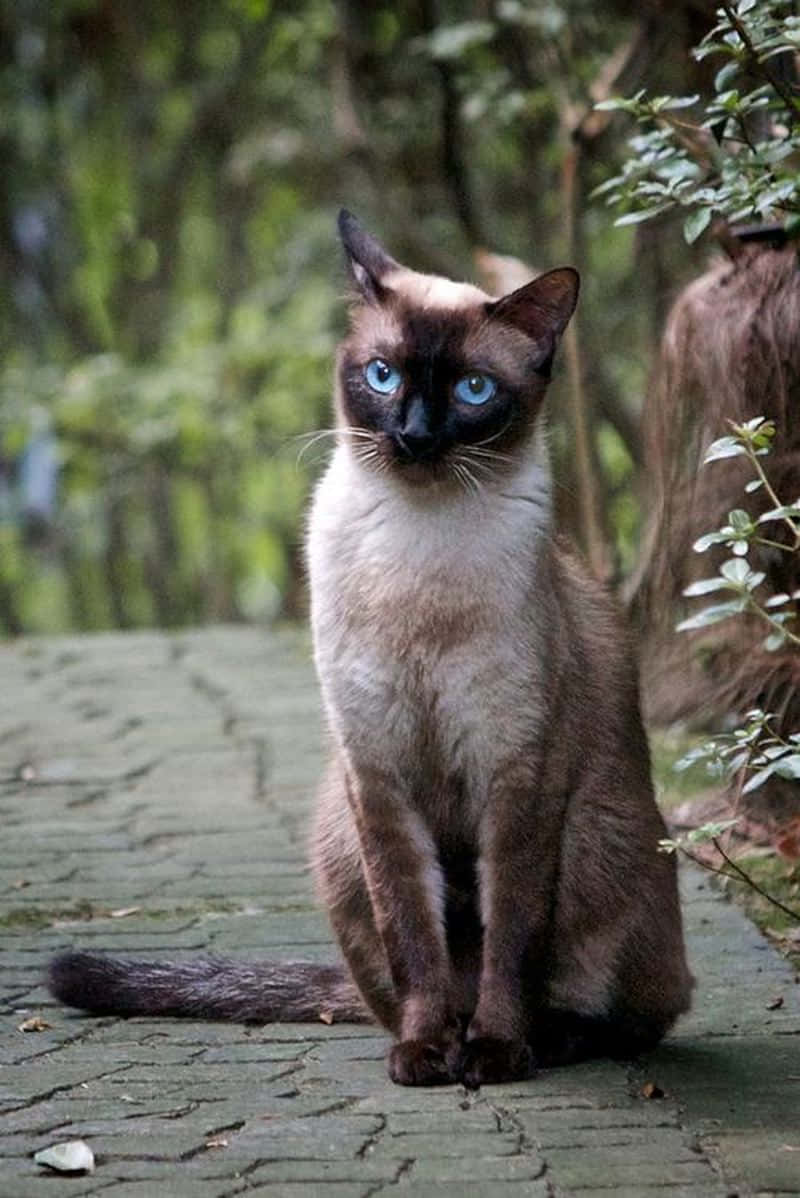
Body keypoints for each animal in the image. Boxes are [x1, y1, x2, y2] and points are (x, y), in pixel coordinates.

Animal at [48, 213, 694, 1087]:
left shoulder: (515, 775)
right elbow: (412, 937)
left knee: (634, 1013)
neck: (416, 556)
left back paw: (545, 1038)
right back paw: (447, 1035)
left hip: (599, 833)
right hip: (335, 831)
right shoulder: (378, 772)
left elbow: (510, 940)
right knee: (397, 985)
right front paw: (426, 1053)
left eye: (473, 391)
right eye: (383, 375)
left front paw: (495, 1051)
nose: (414, 436)